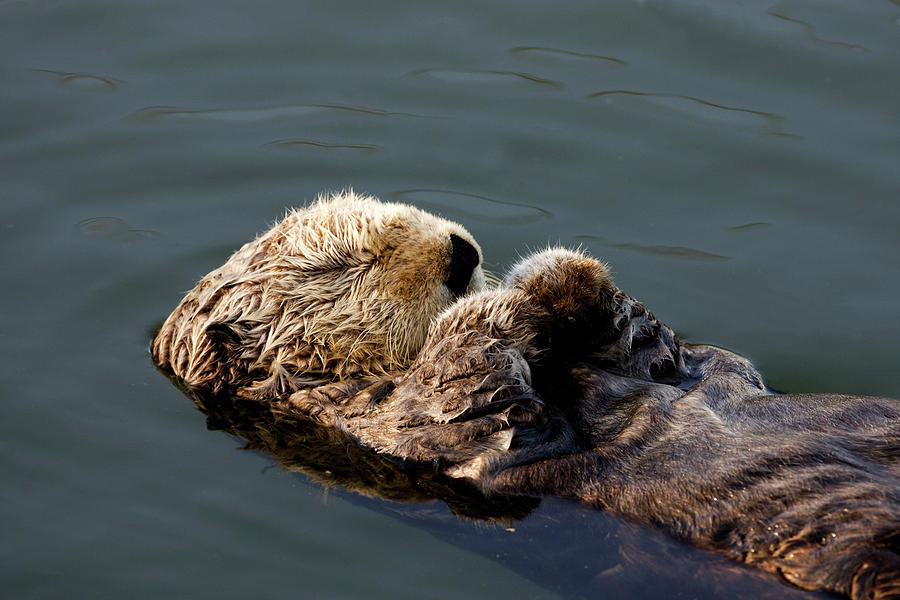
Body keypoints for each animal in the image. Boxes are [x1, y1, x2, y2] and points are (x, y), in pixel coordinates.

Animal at [155, 193, 900, 600]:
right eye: (344, 263)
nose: (460, 250)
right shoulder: (376, 422)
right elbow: (474, 396)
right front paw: (500, 306)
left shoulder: (656, 359)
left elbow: (644, 339)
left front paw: (546, 281)